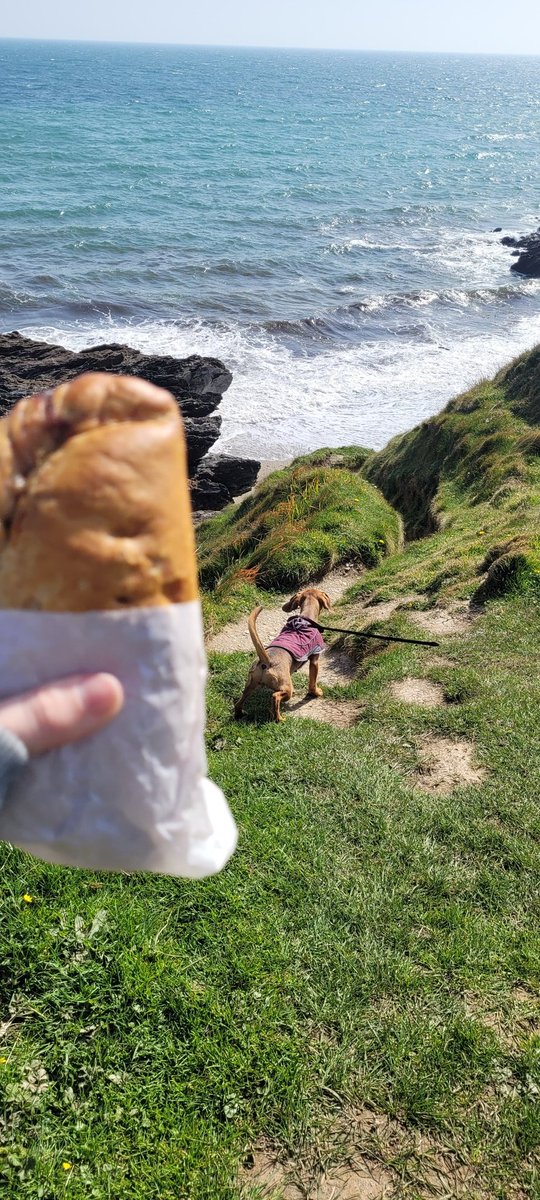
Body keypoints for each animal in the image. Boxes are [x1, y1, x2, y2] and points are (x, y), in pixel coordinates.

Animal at [232, 583, 331, 715]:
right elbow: (312, 682)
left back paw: (240, 714)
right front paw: (315, 692)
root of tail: (266, 661)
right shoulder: (315, 660)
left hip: (250, 684)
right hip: (286, 688)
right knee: (276, 697)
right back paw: (279, 718)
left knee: (239, 702)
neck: (305, 618)